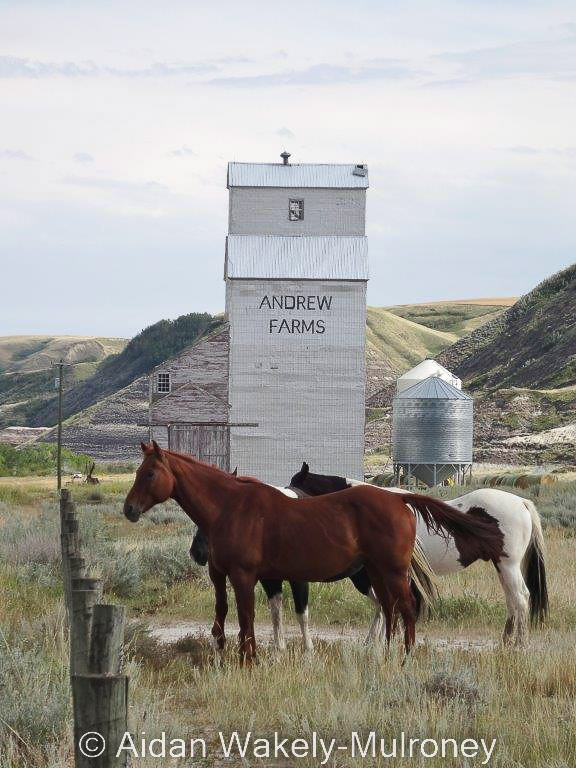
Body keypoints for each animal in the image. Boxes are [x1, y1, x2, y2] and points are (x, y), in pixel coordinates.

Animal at [122, 440, 504, 664]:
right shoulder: (222, 576)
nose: (129, 509)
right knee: (390, 609)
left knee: (406, 608)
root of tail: (398, 499)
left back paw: (404, 657)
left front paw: (250, 659)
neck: (231, 507)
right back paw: (384, 653)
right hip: (376, 573)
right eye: (139, 471)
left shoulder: (246, 577)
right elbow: (223, 613)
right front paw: (224, 653)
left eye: (150, 473)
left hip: (391, 571)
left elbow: (247, 617)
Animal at [290, 462, 548, 648]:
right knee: (513, 601)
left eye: (295, 487)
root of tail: (522, 502)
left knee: (521, 599)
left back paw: (520, 645)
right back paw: (506, 642)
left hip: (509, 565)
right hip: (501, 566)